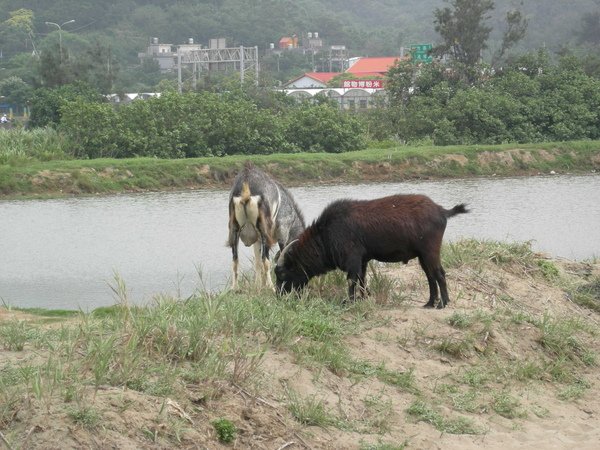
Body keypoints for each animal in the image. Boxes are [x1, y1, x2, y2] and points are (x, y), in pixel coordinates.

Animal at [276, 195, 468, 308]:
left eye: (283, 274)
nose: (279, 295)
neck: (325, 234)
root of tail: (441, 211)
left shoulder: (353, 259)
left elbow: (352, 280)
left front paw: (349, 301)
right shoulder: (363, 260)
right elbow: (362, 279)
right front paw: (365, 296)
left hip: (430, 252)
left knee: (439, 274)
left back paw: (443, 303)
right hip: (423, 256)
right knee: (430, 276)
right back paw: (429, 302)